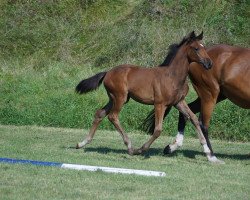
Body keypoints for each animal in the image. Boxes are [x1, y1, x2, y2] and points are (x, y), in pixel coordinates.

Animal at [74, 31, 215, 162]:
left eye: (204, 47)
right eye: (196, 48)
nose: (209, 64)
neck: (173, 76)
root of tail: (107, 72)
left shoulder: (179, 102)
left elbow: (194, 119)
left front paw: (209, 154)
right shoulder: (159, 104)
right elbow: (158, 130)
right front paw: (141, 149)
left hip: (115, 99)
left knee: (100, 113)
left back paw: (82, 143)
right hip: (120, 98)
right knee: (113, 116)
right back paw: (130, 147)